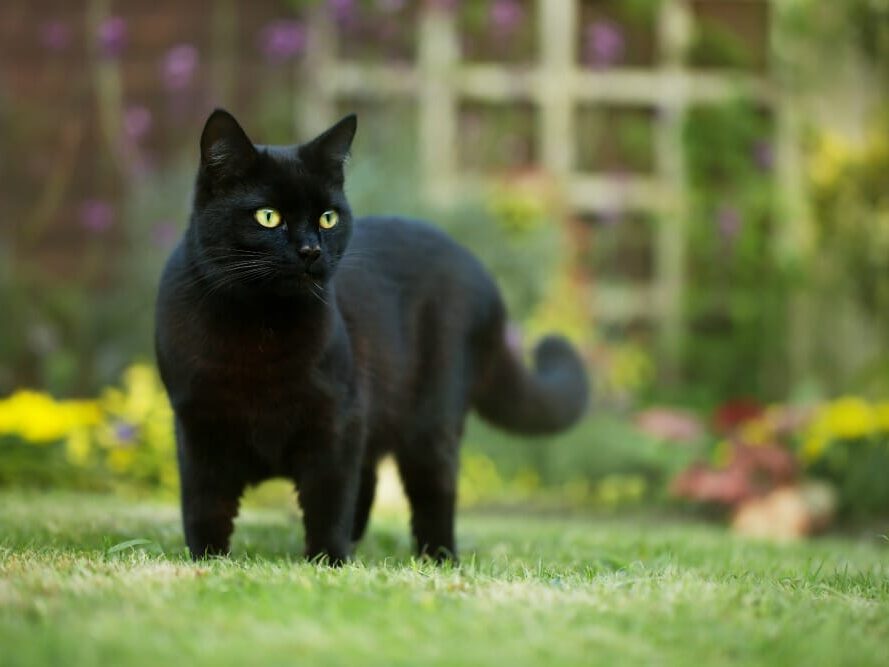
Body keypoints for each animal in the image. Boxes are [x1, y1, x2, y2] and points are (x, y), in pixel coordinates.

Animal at [158, 109, 588, 564]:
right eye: (268, 216)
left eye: (328, 217)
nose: (311, 250)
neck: (259, 329)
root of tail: (478, 269)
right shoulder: (197, 425)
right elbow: (204, 504)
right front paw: (207, 561)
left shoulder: (337, 420)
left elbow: (329, 500)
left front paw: (327, 562)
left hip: (431, 419)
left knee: (431, 490)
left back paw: (438, 558)